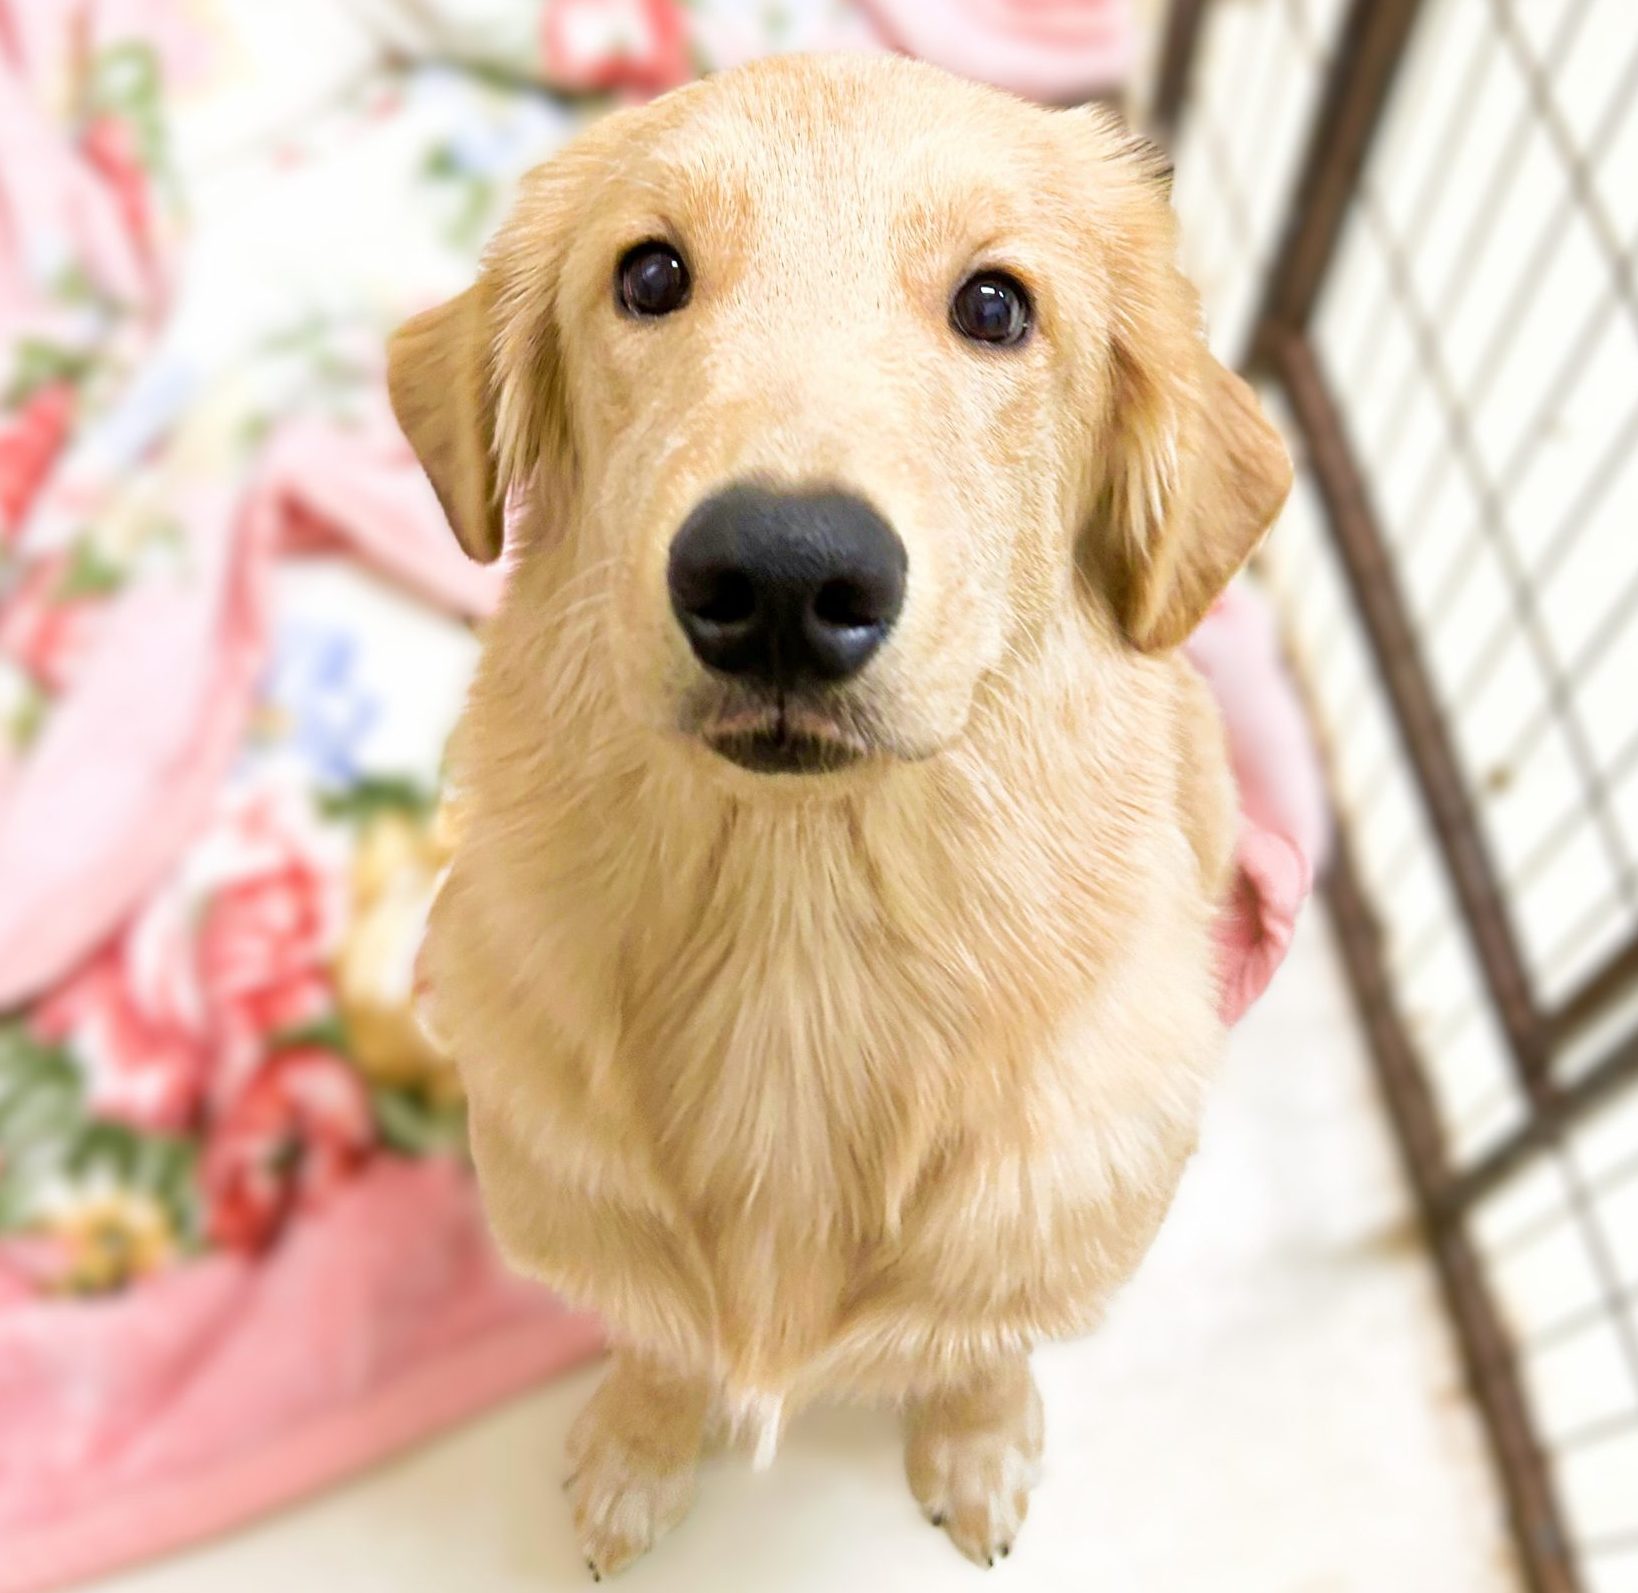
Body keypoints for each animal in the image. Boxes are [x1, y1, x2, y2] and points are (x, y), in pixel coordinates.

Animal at [389, 52, 1291, 1577]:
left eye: (996, 304)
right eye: (648, 273)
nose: (781, 577)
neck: (797, 939)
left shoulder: (1046, 1221)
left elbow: (983, 1344)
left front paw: (977, 1445)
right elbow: (655, 1341)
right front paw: (638, 1450)